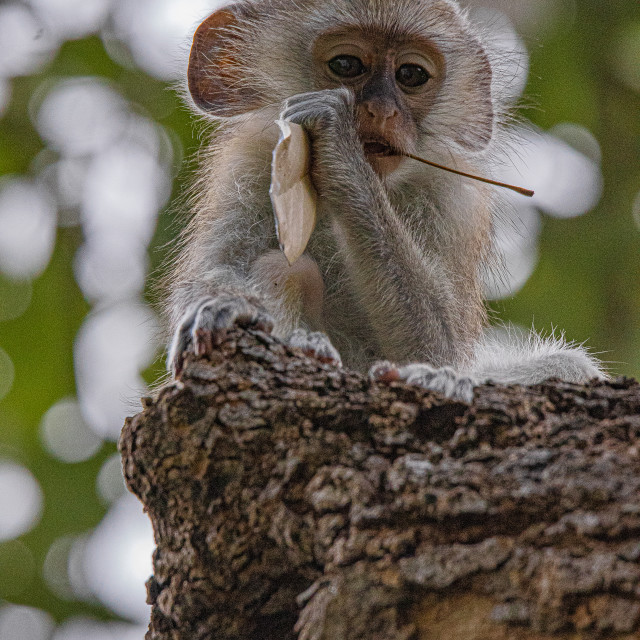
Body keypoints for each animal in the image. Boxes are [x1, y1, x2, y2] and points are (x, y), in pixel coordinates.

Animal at [165, 0, 604, 400]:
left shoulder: (452, 199)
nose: (382, 109)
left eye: (410, 74)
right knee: (284, 267)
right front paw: (230, 307)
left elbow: (437, 348)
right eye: (346, 65)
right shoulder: (251, 163)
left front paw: (340, 148)